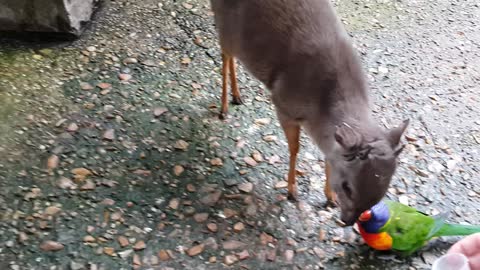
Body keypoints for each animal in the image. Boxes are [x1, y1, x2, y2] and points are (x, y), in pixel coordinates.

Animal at [208, 0, 406, 226]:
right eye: (347, 187)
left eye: (383, 191)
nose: (348, 221)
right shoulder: (283, 104)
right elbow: (295, 148)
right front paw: (292, 191)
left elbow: (328, 156)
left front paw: (330, 197)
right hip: (225, 27)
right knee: (225, 55)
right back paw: (224, 106)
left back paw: (237, 96)